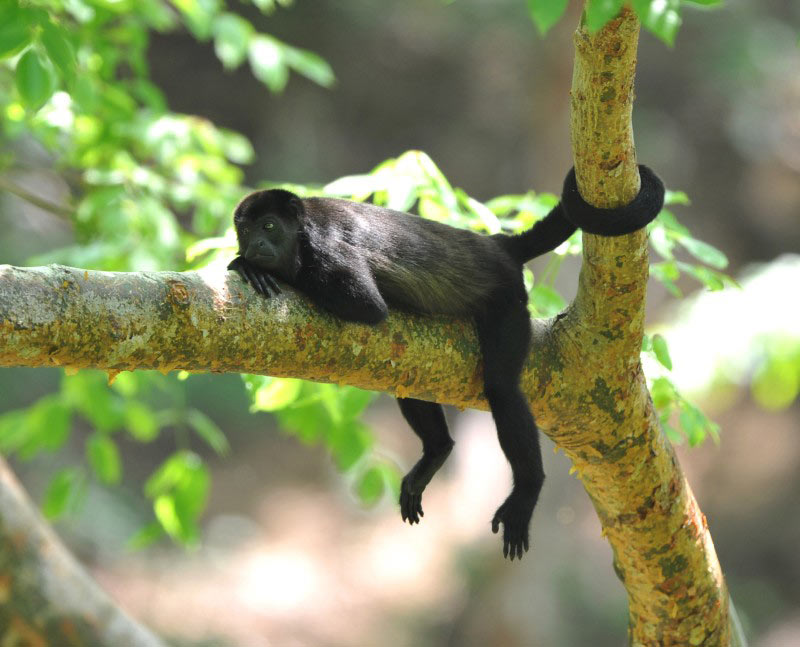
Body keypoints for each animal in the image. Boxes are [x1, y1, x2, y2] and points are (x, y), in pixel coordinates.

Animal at [230, 165, 664, 560]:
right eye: (246, 231)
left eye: (269, 226)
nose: (254, 247)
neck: (302, 233)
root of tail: (498, 246)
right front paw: (245, 261)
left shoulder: (328, 250)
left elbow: (368, 305)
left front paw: (247, 267)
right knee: (406, 377)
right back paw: (437, 450)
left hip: (508, 300)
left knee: (502, 390)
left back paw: (527, 489)